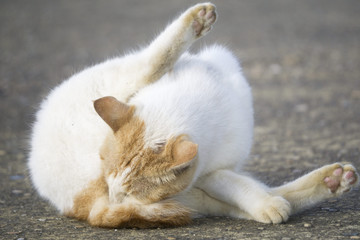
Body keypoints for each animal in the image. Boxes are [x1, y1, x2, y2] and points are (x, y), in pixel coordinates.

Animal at [28, 2, 358, 228]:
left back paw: (332, 180)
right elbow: (237, 185)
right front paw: (267, 205)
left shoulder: (209, 171)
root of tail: (88, 208)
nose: (113, 195)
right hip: (119, 79)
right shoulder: (207, 172)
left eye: (128, 192)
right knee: (149, 62)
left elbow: (236, 184)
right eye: (114, 185)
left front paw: (269, 203)